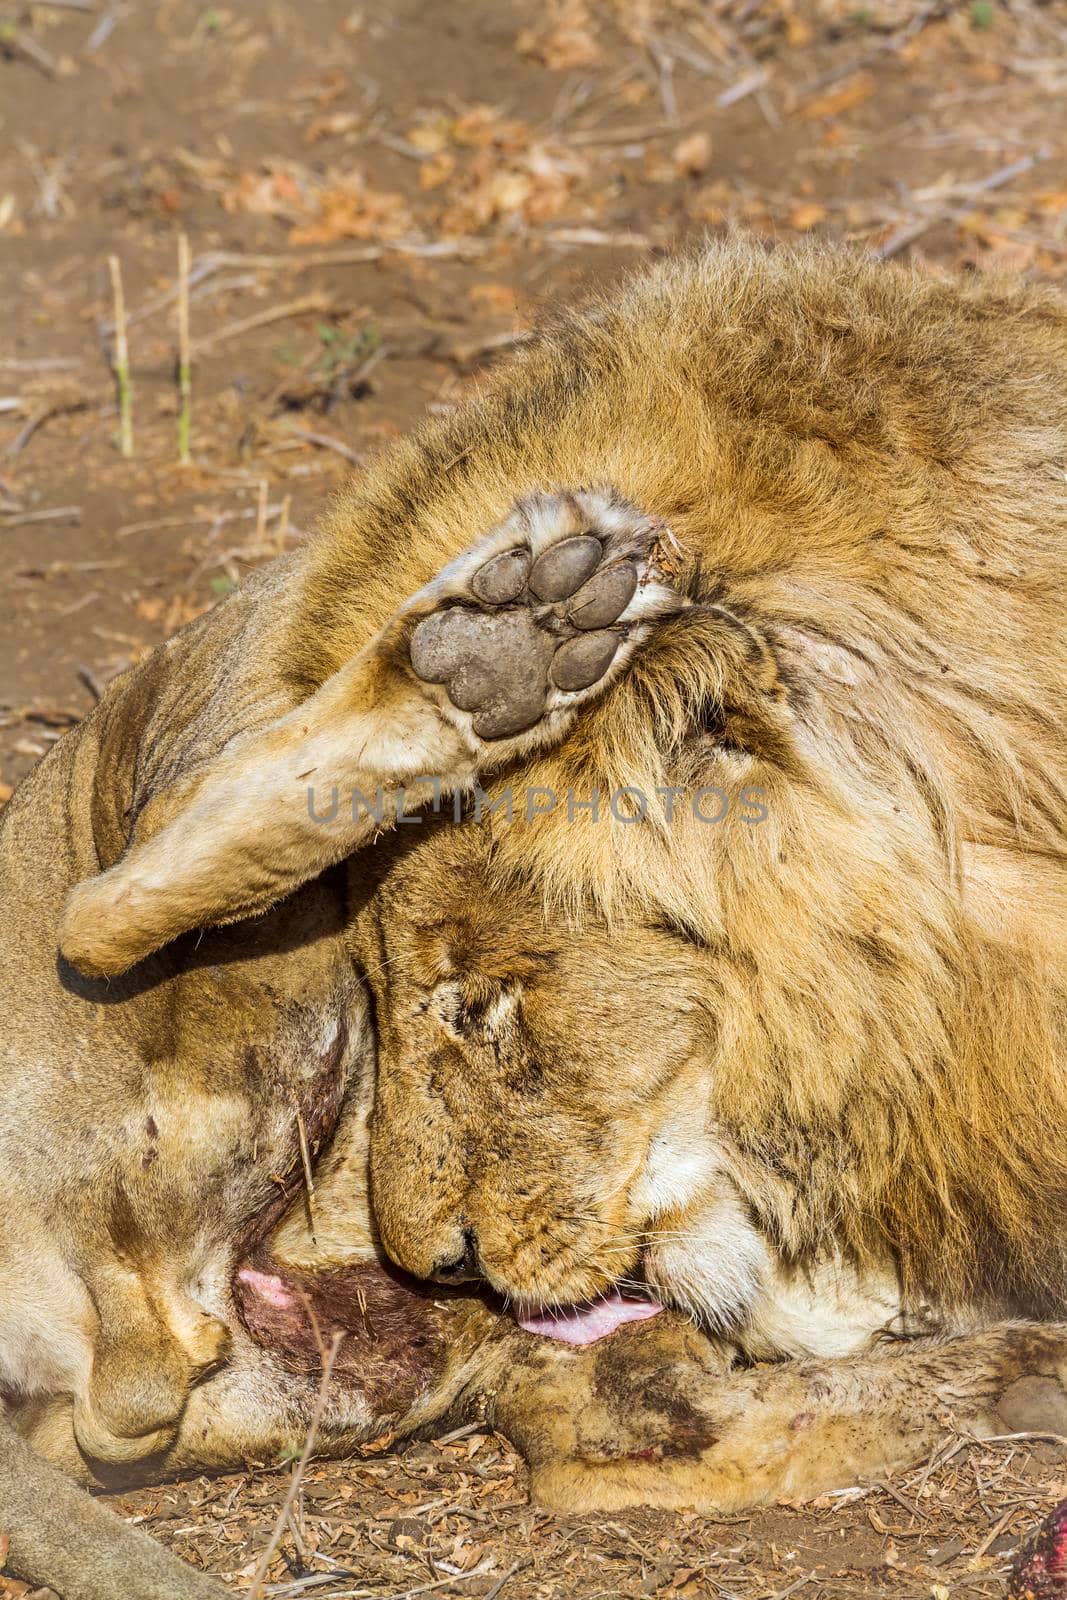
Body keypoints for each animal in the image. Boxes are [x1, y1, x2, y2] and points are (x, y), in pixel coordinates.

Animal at [6, 236, 1067, 1600]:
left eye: (485, 1007)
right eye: (435, 1003)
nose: (437, 1262)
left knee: (616, 1428)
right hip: (247, 978)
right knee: (114, 909)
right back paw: (505, 646)